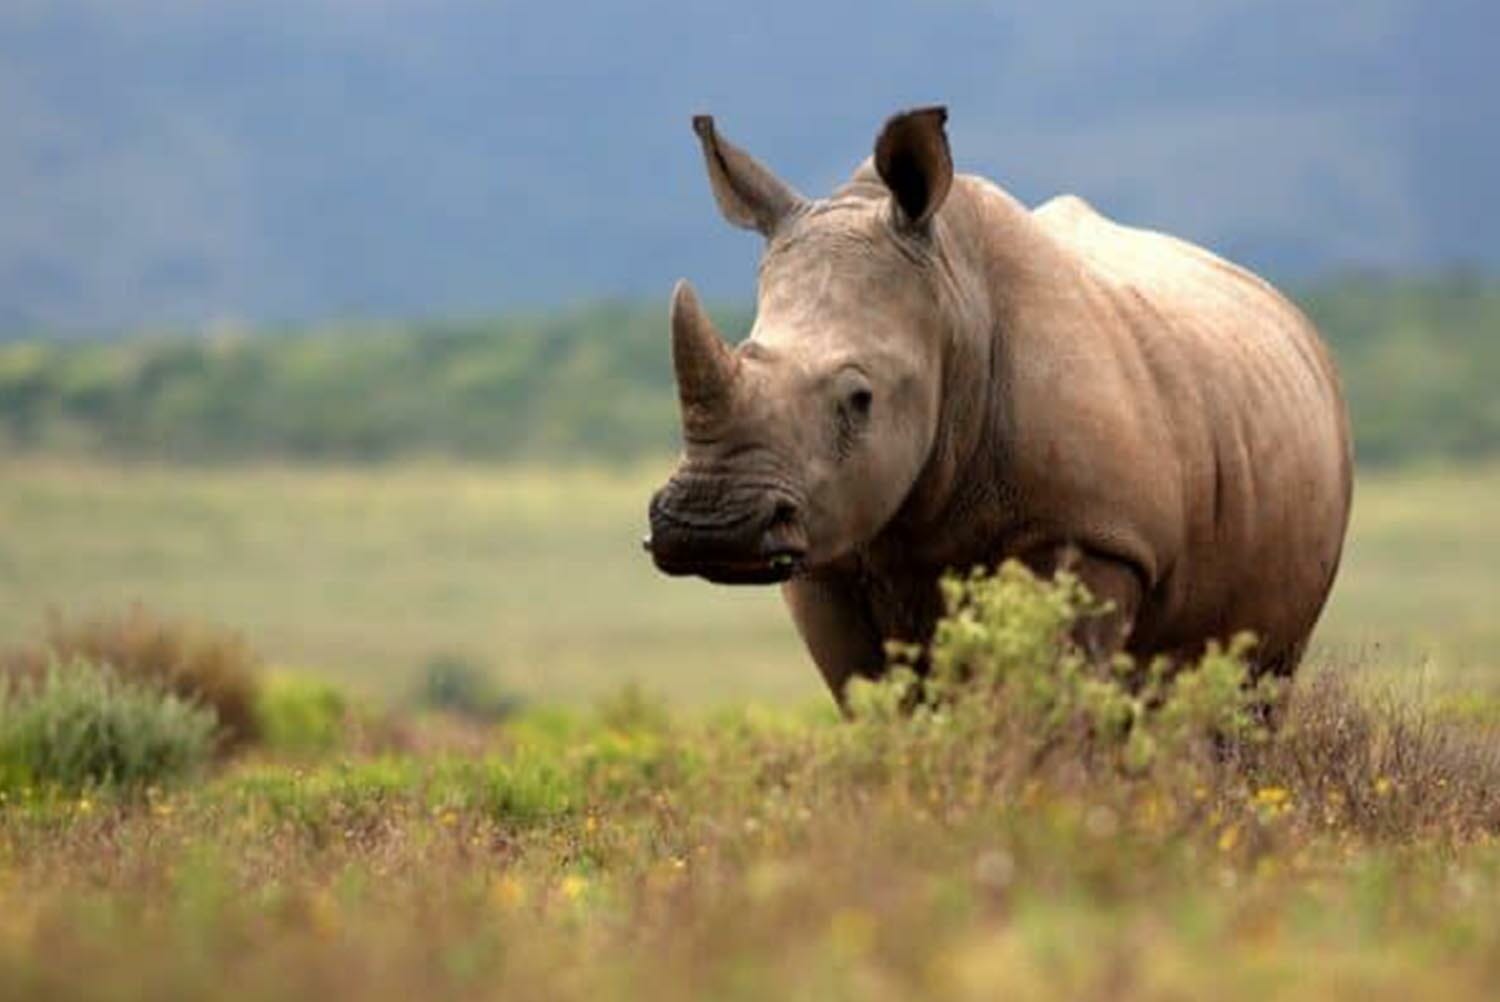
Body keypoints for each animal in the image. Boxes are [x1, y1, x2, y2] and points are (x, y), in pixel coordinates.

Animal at [645, 106, 1353, 703]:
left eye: (860, 398)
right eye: (745, 351)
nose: (710, 525)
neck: (952, 302)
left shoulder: (1093, 536)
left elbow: (1050, 702)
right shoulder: (829, 554)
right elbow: (881, 703)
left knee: (1251, 690)